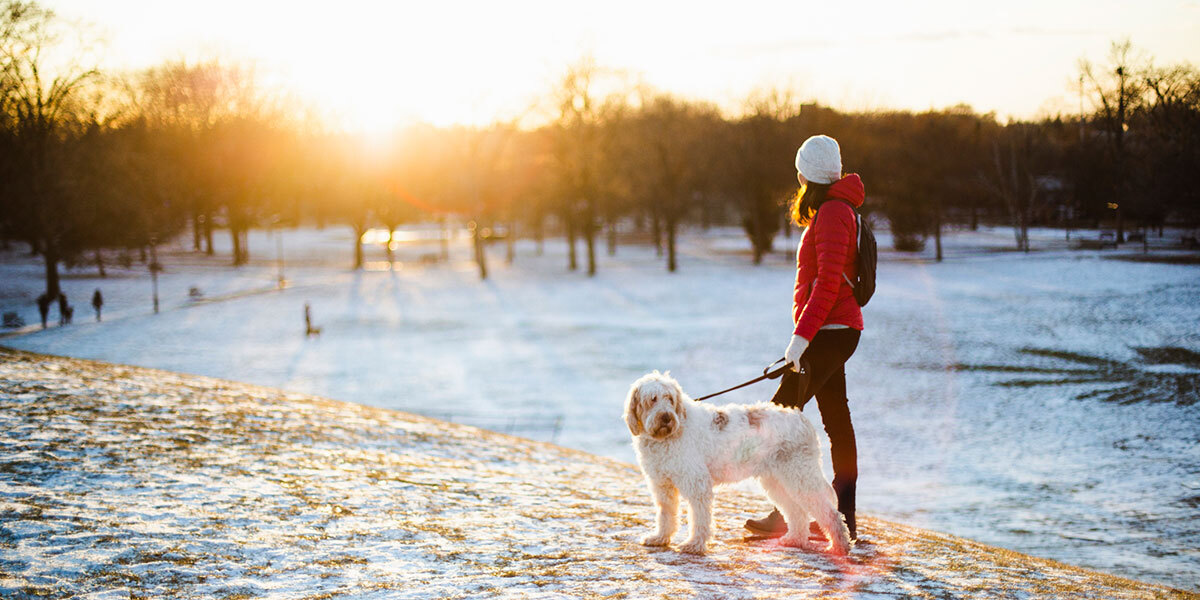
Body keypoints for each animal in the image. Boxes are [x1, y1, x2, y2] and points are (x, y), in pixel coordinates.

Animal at [624, 372, 849, 554]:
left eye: (669, 398)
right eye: (652, 400)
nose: (666, 418)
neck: (672, 433)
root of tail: (802, 420)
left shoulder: (697, 483)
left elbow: (699, 518)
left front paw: (695, 545)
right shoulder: (662, 485)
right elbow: (666, 514)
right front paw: (660, 538)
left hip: (801, 476)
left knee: (830, 514)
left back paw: (839, 547)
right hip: (778, 481)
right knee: (797, 512)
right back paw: (794, 539)